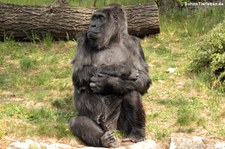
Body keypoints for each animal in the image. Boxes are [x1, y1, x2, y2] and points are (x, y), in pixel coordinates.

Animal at [70, 4, 151, 147]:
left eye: (100, 18)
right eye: (94, 18)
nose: (92, 25)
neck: (113, 40)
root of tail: (111, 127)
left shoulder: (134, 43)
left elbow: (143, 78)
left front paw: (107, 82)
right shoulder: (83, 38)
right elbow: (78, 72)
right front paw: (121, 70)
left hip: (121, 127)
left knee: (132, 93)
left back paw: (137, 133)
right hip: (101, 125)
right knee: (78, 121)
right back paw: (104, 139)